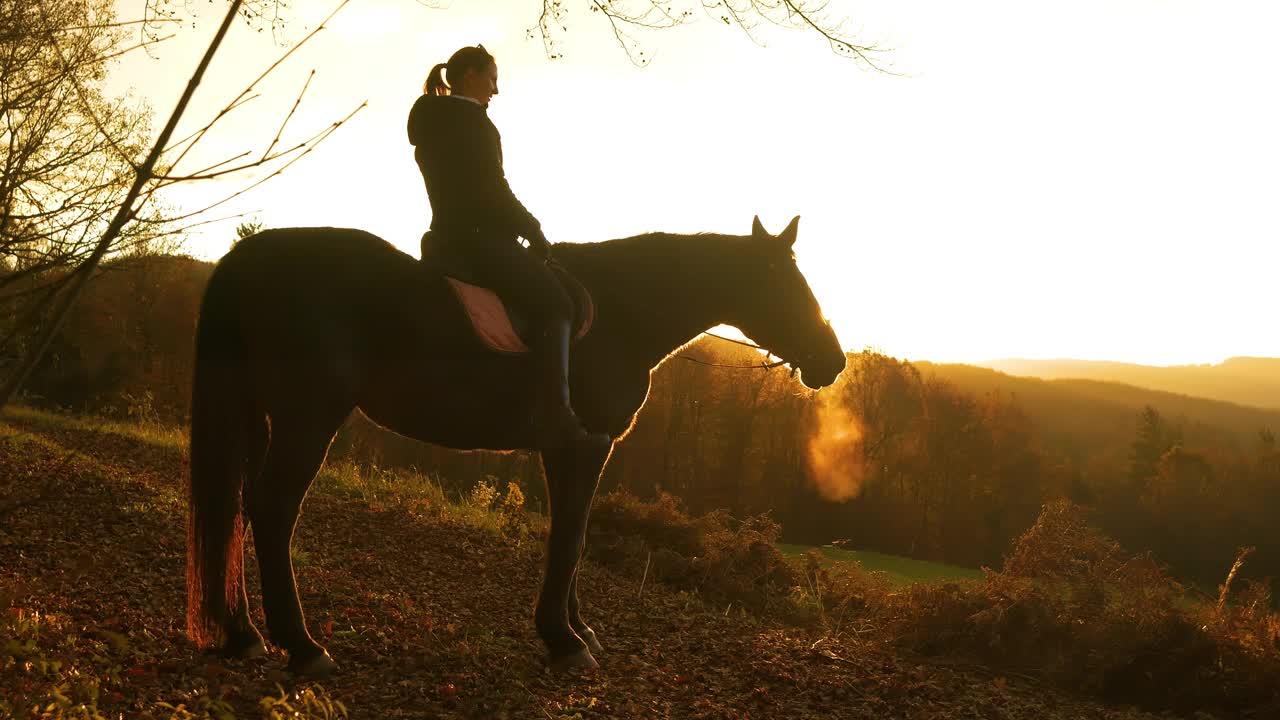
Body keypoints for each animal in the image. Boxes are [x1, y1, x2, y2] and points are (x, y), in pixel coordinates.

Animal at [185, 212, 844, 671]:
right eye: (787, 285)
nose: (833, 362)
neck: (621, 313)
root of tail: (251, 256)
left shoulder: (581, 450)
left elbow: (576, 536)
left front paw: (579, 630)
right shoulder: (582, 445)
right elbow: (570, 536)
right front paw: (565, 640)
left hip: (260, 415)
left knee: (239, 507)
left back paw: (243, 635)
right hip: (308, 418)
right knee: (272, 511)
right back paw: (302, 646)